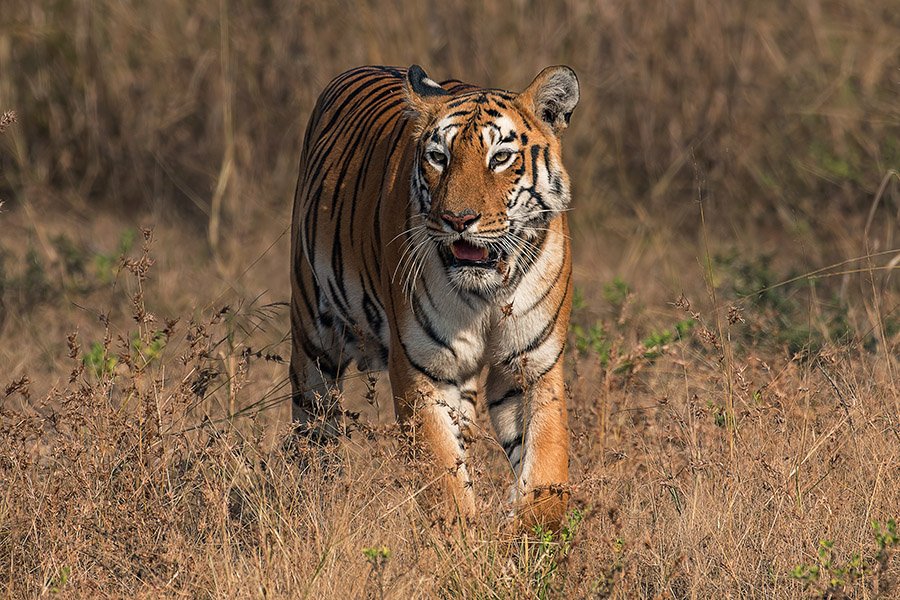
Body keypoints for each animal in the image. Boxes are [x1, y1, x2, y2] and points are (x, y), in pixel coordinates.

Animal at [290, 64, 579, 527]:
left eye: (501, 157)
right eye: (438, 157)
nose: (458, 219)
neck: (489, 291)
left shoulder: (534, 365)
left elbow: (547, 472)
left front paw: (531, 536)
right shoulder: (422, 369)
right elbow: (445, 481)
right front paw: (464, 540)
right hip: (314, 338)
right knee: (313, 430)